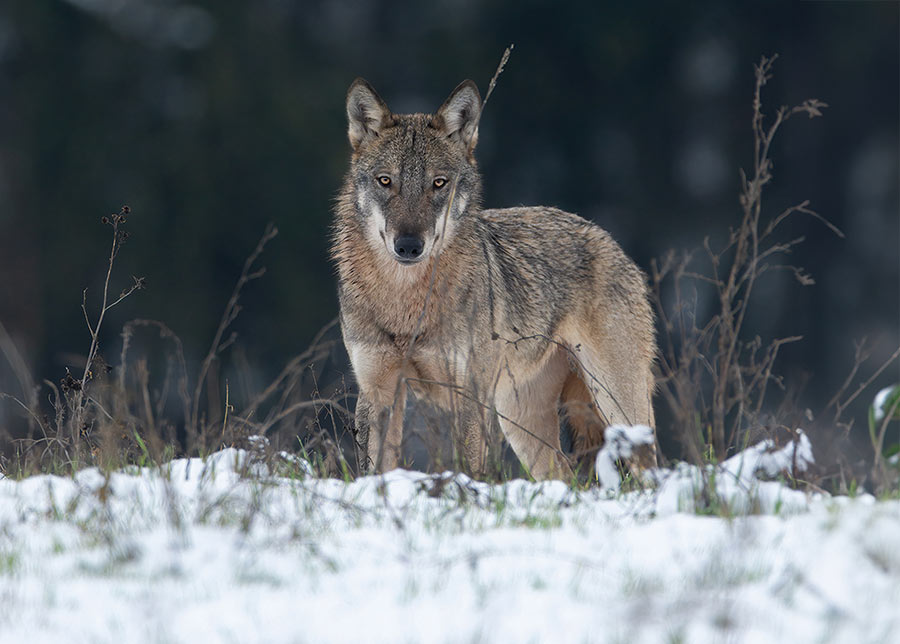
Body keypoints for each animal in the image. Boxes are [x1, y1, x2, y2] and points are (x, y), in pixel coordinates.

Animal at [330, 78, 652, 480]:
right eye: (385, 181)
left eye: (439, 183)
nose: (408, 246)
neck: (406, 302)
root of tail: (609, 240)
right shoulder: (377, 392)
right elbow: (374, 471)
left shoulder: (469, 395)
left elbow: (469, 467)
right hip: (520, 421)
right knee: (563, 475)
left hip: (616, 405)